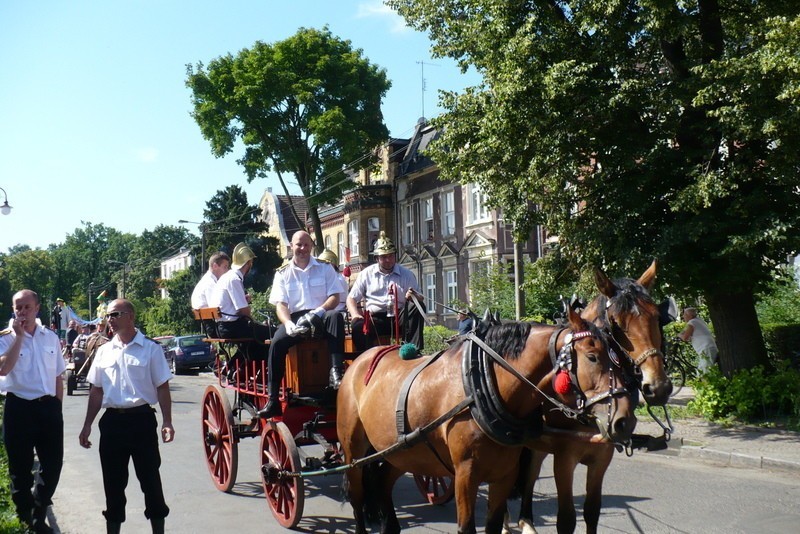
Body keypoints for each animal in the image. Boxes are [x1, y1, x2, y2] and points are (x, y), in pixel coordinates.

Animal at [334, 308, 636, 532]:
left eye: (619, 358)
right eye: (592, 357)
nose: (624, 420)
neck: (481, 384)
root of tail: (361, 359)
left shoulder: (504, 473)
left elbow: (493, 524)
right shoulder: (465, 474)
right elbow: (467, 527)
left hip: (403, 452)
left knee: (383, 479)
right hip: (354, 449)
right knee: (358, 492)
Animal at [506, 264, 676, 534]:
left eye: (657, 318)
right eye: (616, 324)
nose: (658, 387)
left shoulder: (601, 458)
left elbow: (592, 511)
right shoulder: (564, 458)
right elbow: (566, 519)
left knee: (529, 475)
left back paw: (526, 521)